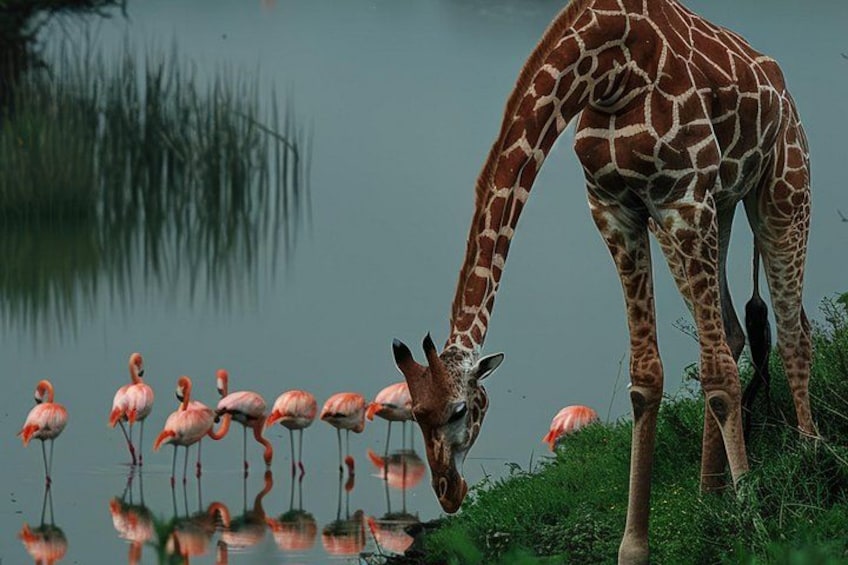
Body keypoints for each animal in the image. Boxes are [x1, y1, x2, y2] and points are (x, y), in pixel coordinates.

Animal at [391, 0, 815, 562]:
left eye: (462, 408)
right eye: (416, 413)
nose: (448, 492)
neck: (610, 72)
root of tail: (780, 83)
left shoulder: (683, 198)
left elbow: (720, 373)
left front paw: (753, 522)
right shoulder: (616, 209)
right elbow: (646, 377)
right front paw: (633, 547)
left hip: (781, 186)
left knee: (791, 331)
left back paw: (810, 452)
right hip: (715, 209)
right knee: (730, 330)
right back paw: (710, 495)